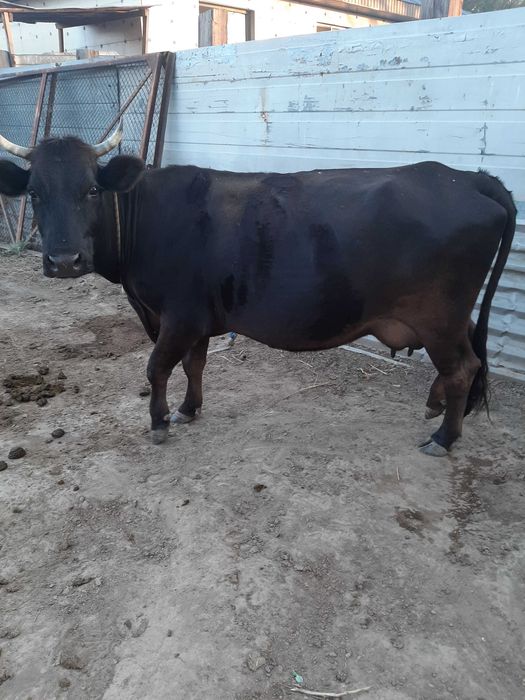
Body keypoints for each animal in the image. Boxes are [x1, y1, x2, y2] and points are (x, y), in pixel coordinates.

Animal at [0, 125, 516, 457]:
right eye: (35, 194)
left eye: (91, 190)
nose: (64, 261)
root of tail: (466, 177)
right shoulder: (198, 318)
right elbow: (193, 364)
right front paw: (188, 409)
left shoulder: (178, 314)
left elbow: (157, 367)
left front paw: (159, 421)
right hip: (451, 314)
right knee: (466, 358)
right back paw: (436, 408)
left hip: (438, 314)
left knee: (463, 367)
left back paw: (444, 438)